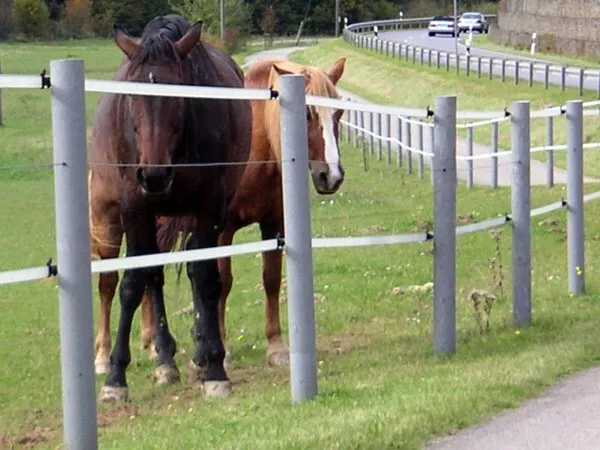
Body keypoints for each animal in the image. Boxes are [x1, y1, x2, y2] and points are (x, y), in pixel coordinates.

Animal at [89, 13, 251, 400]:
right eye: (131, 97)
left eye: (178, 95)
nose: (154, 175)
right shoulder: (135, 209)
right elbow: (133, 283)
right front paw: (116, 377)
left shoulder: (209, 209)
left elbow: (206, 277)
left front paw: (215, 367)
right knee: (142, 276)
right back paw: (157, 359)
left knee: (189, 266)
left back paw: (197, 353)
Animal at [92, 55, 346, 380]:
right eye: (306, 114)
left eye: (338, 113)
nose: (332, 176)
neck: (258, 146)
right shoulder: (223, 229)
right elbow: (221, 282)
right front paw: (220, 351)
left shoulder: (273, 224)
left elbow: (271, 278)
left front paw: (276, 347)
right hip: (109, 222)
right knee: (109, 283)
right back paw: (105, 356)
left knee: (150, 274)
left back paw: (153, 346)